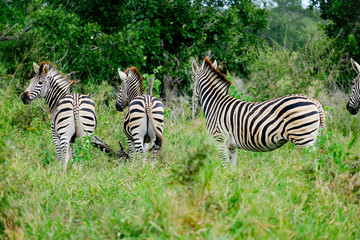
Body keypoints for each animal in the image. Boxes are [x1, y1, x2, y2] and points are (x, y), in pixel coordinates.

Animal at [191, 57, 326, 168]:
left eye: (193, 81)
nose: (193, 100)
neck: (215, 103)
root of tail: (314, 101)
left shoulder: (219, 140)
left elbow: (223, 166)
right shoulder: (231, 145)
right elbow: (231, 167)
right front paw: (232, 181)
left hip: (303, 138)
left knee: (313, 162)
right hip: (313, 137)